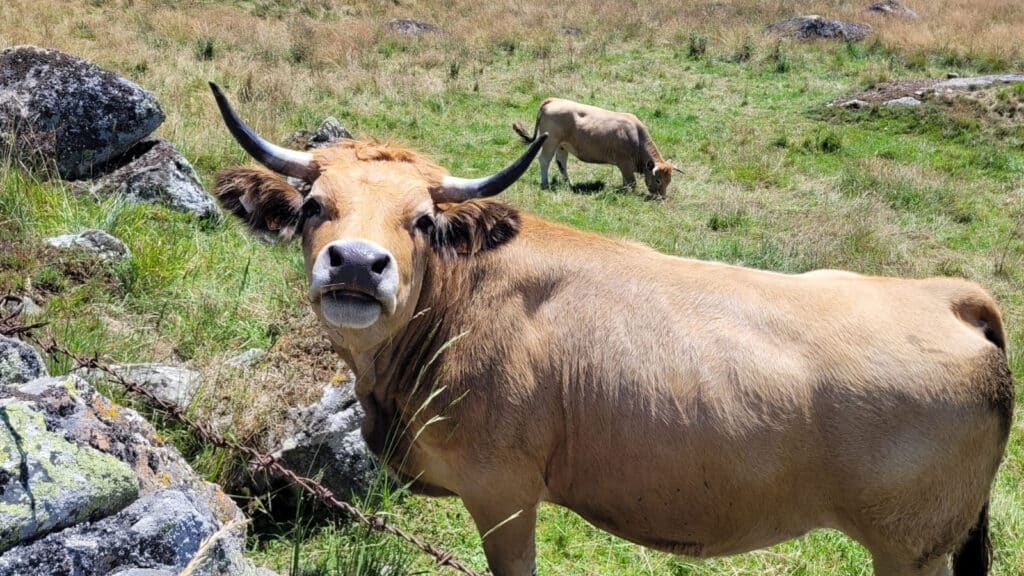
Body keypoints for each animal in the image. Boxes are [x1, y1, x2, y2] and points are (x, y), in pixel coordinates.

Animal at [512, 97, 679, 196]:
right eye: (658, 180)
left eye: (669, 180)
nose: (661, 197)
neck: (636, 138)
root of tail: (553, 100)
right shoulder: (625, 163)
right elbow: (631, 183)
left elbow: (626, 181)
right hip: (550, 141)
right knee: (544, 160)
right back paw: (545, 183)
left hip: (561, 145)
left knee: (561, 163)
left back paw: (568, 183)